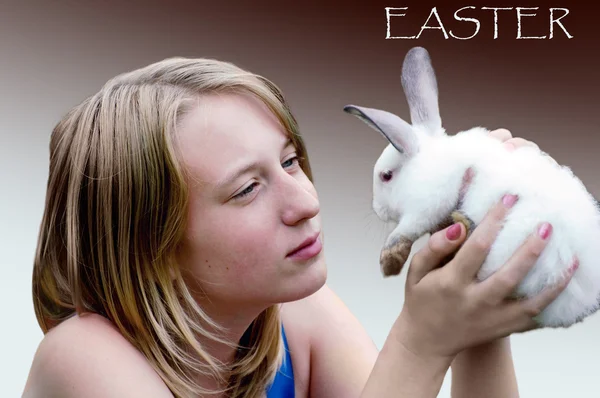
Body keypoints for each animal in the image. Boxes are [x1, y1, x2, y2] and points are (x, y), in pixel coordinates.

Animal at [342, 46, 600, 328]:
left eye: (386, 176)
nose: (377, 210)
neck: (422, 168)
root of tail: (579, 302)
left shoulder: (428, 205)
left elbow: (404, 231)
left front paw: (388, 263)